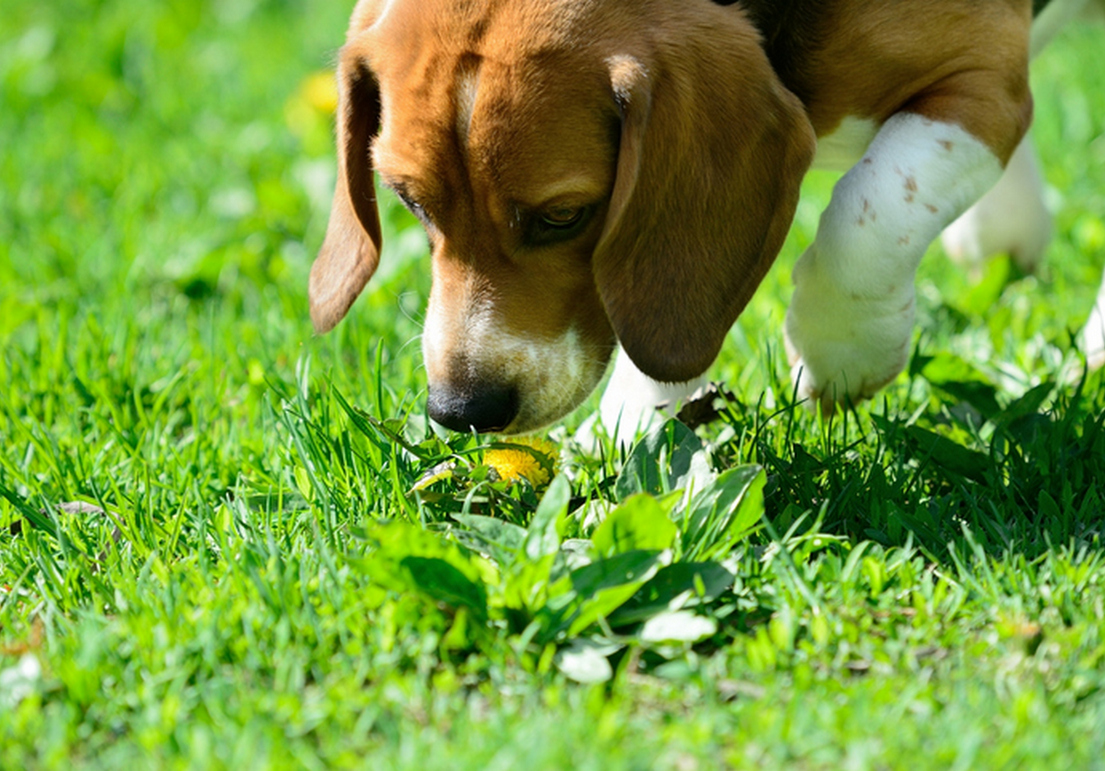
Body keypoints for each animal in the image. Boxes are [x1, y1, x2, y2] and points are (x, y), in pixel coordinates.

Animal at [311, 0, 1105, 437]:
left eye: (563, 216)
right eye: (410, 201)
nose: (462, 409)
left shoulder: (984, 87)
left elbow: (869, 209)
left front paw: (841, 352)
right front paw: (634, 433)